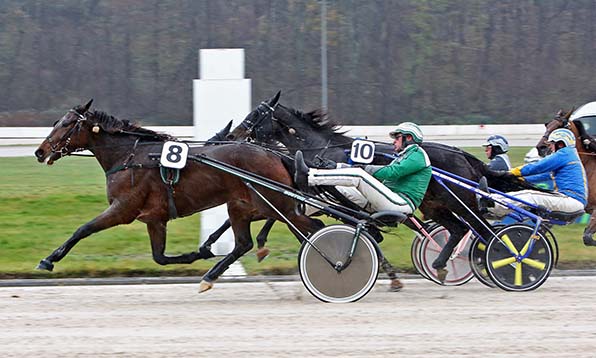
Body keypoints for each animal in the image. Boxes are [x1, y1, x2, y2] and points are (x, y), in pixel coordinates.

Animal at [33, 99, 324, 292]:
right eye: (56, 122)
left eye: (68, 124)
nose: (40, 151)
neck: (130, 157)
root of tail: (274, 154)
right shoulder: (154, 219)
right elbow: (159, 257)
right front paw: (198, 253)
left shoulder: (123, 209)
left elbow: (83, 229)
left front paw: (49, 259)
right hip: (245, 204)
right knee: (245, 243)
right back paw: (210, 276)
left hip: (276, 204)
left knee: (314, 227)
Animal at [227, 91, 532, 280]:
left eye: (256, 113)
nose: (233, 135)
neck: (323, 149)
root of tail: (462, 154)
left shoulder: (327, 194)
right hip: (436, 205)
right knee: (459, 229)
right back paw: (441, 264)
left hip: (460, 201)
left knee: (484, 231)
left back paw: (503, 258)